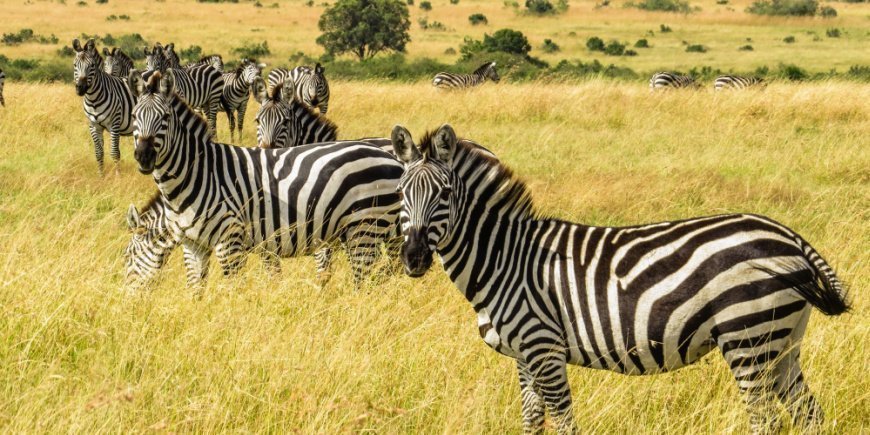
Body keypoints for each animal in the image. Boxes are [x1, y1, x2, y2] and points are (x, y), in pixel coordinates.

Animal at [72, 38, 136, 174]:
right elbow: (99, 152)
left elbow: (115, 153)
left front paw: (118, 176)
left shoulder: (114, 124)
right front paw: (101, 175)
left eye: (92, 66)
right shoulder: (93, 126)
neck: (93, 100)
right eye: (75, 65)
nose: (80, 88)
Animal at [126, 71, 403, 288]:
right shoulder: (195, 245)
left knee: (366, 282)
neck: (198, 175)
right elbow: (197, 292)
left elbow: (234, 291)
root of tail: (395, 160)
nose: (144, 156)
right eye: (134, 117)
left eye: (165, 118)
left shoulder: (232, 241)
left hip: (365, 228)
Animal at [391, 124, 849, 434]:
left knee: (765, 419)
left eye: (445, 195)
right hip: (781, 341)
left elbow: (564, 422)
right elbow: (532, 420)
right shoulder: (523, 355)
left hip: (747, 336)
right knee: (809, 415)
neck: (505, 259)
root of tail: (789, 235)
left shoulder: (544, 348)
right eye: (399, 193)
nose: (413, 259)